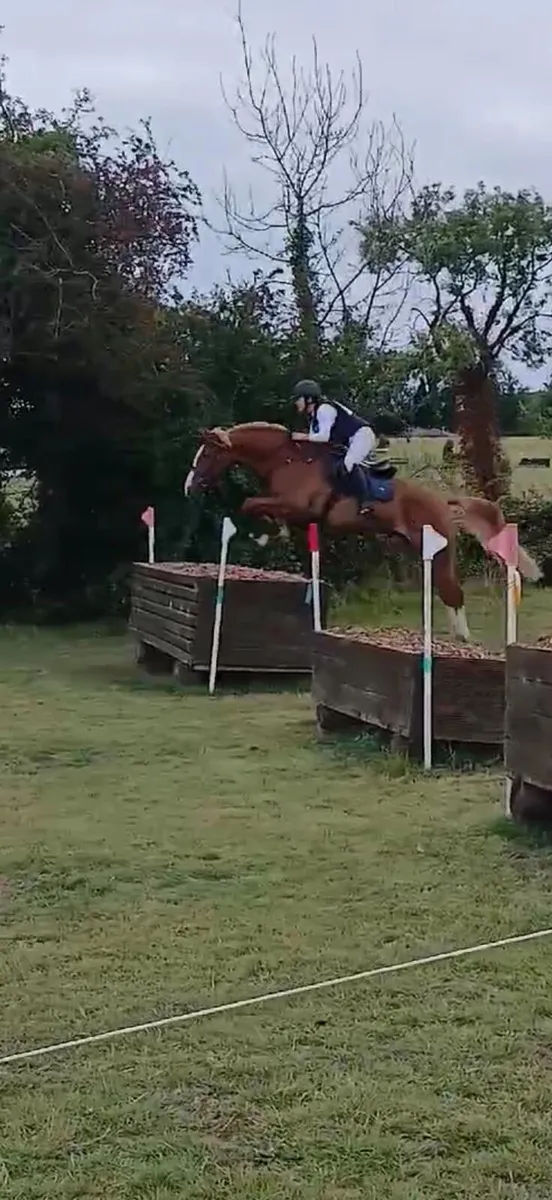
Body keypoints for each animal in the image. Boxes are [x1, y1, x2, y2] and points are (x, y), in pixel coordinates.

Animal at [184, 422, 542, 640]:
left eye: (209, 453)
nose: (189, 487)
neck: (285, 461)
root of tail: (441, 500)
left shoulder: (299, 506)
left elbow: (250, 503)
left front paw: (262, 535)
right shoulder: (291, 509)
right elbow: (261, 508)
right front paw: (273, 534)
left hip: (438, 550)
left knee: (453, 591)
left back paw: (463, 637)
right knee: (446, 590)